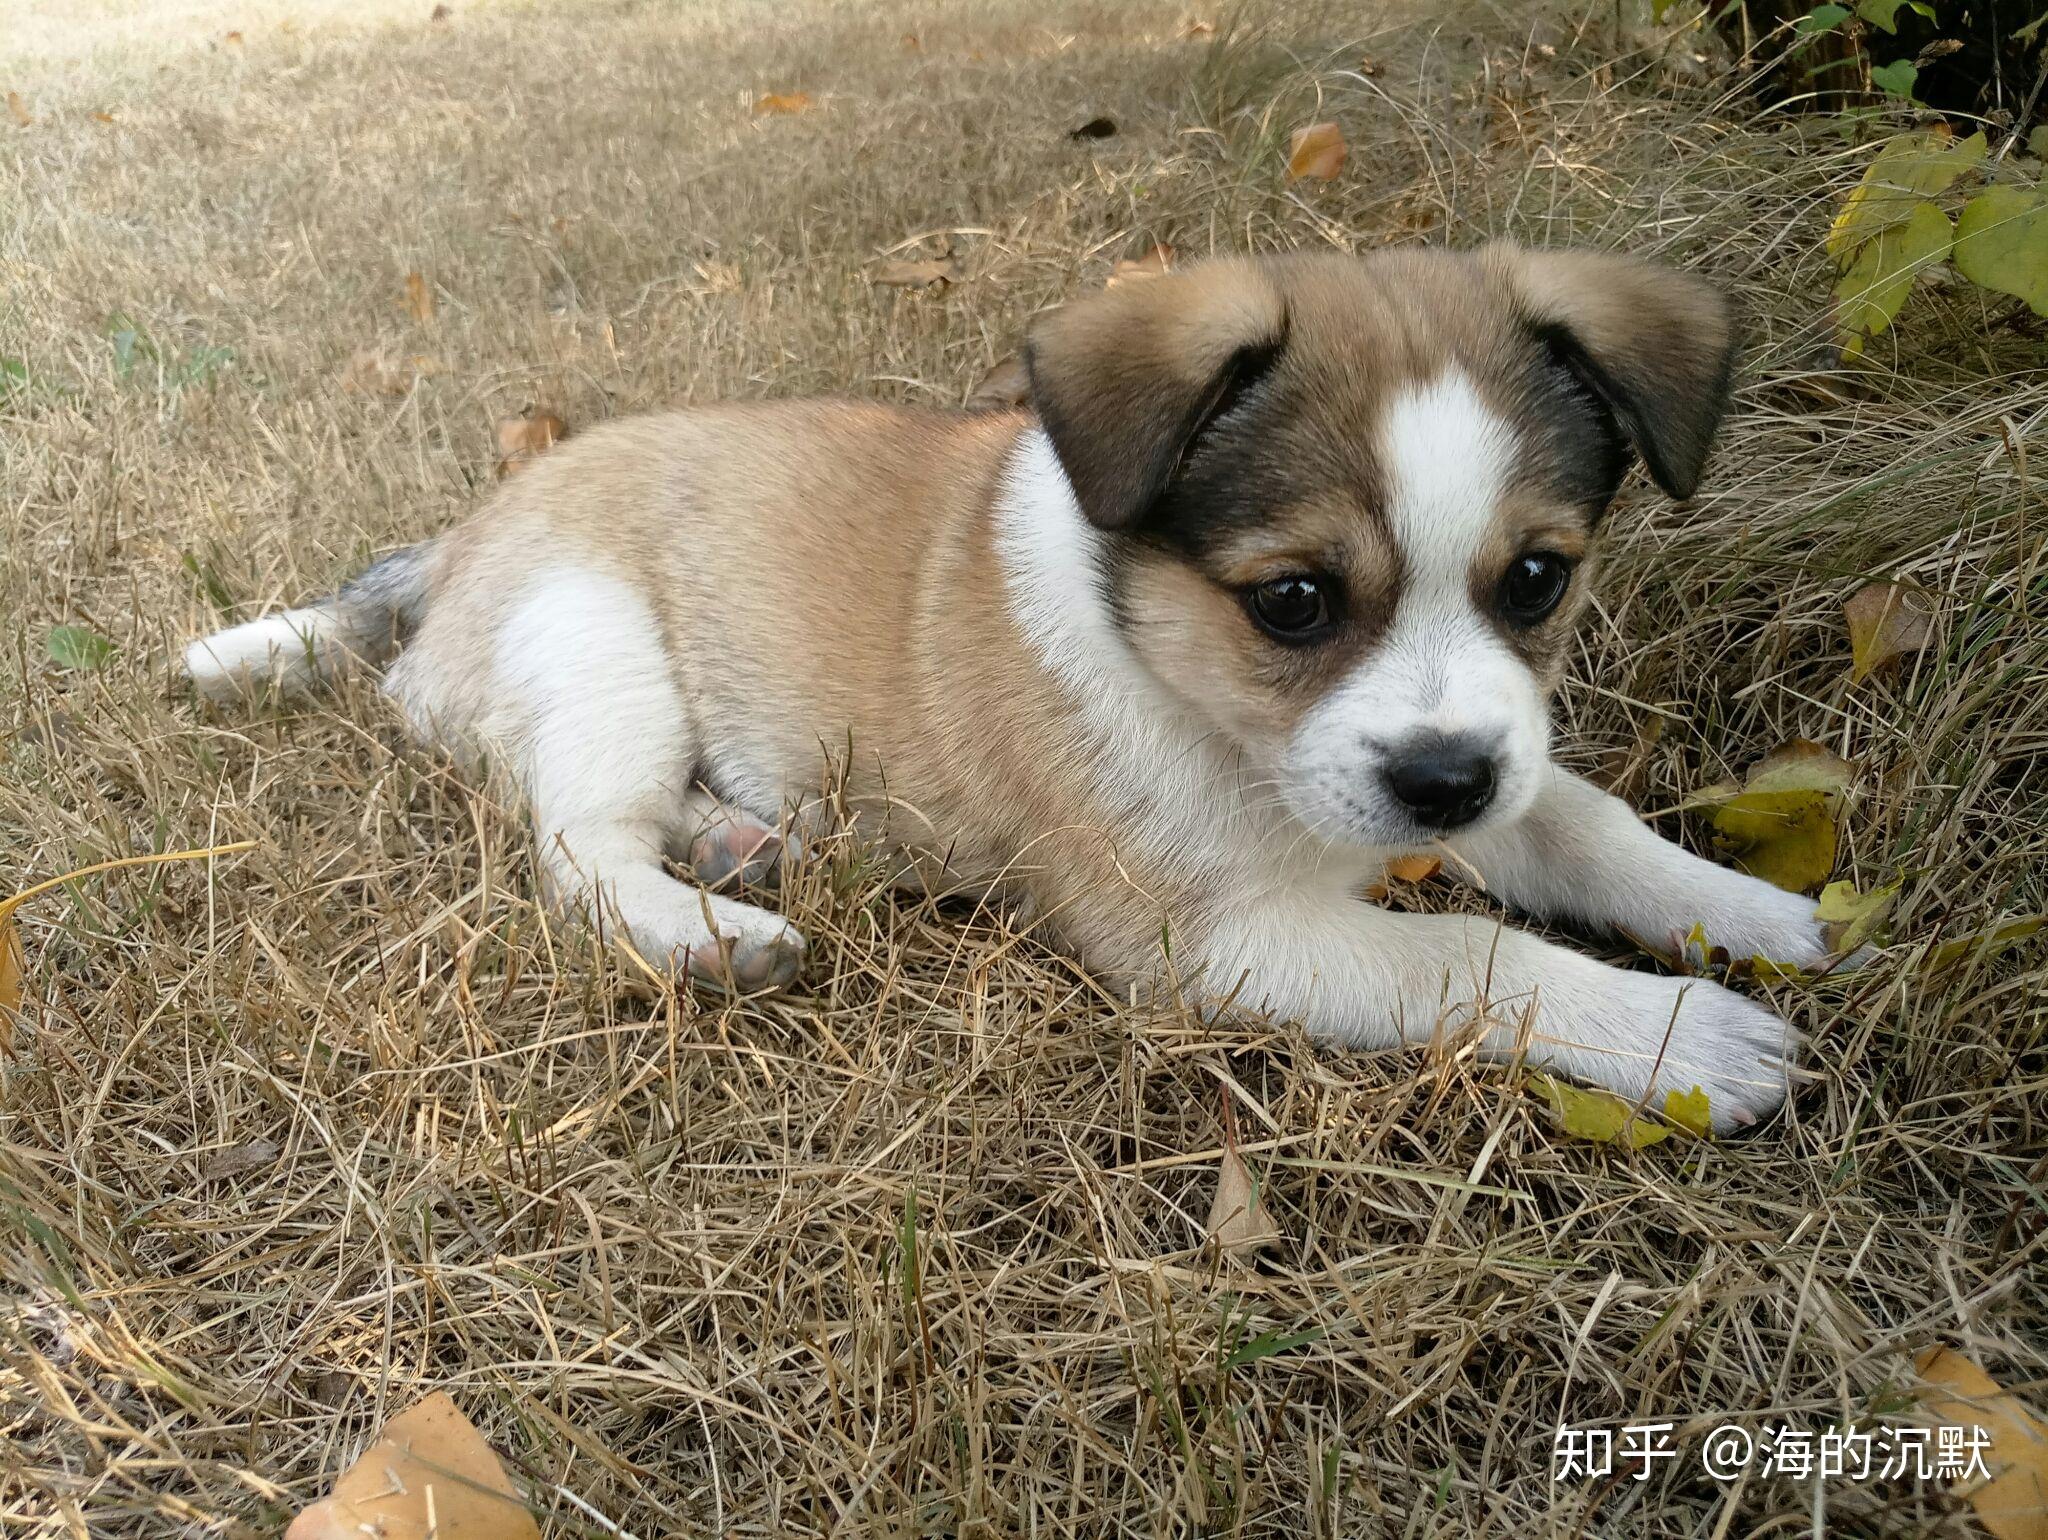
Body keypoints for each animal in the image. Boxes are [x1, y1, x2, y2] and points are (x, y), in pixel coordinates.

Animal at [180, 243, 1843, 1130]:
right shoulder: (1215, 945)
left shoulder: (1479, 759)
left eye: (1539, 579)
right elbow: (1471, 959)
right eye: (1294, 603)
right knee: (574, 843)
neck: (1175, 674)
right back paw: (707, 930)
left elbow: (1584, 824)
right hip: (601, 652)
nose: (1443, 789)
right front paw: (1681, 1037)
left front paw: (1745, 912)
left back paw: (740, 843)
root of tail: (463, 536)